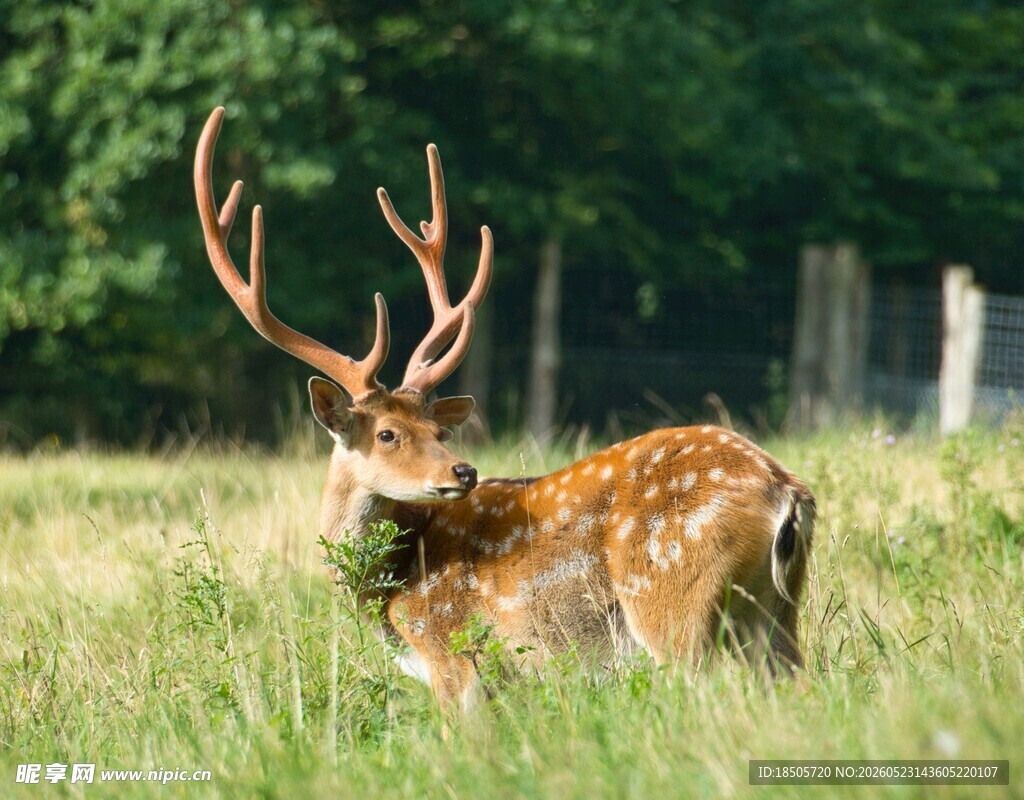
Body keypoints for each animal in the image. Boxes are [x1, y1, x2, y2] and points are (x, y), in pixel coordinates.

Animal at [195, 107, 816, 712]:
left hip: (672, 598)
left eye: (436, 431)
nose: (463, 471)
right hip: (777, 612)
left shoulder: (452, 653)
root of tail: (785, 492)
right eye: (390, 433)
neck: (391, 589)